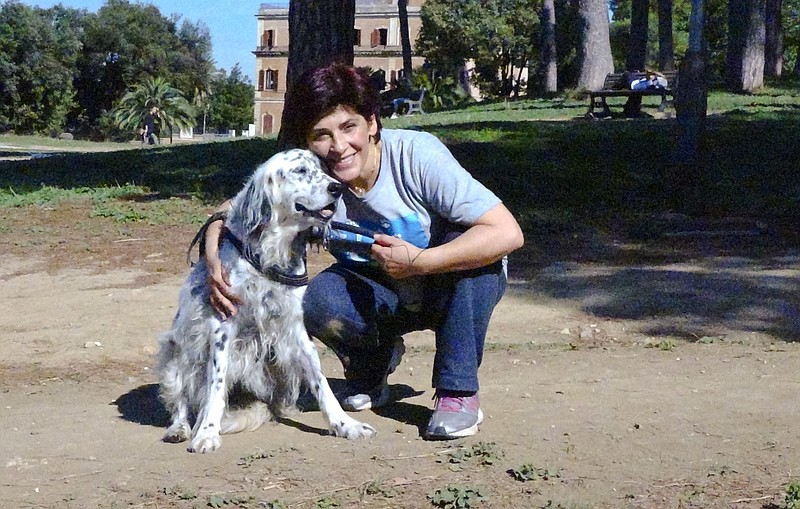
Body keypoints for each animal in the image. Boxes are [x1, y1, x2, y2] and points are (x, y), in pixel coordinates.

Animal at [159, 148, 378, 452]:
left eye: (322, 169)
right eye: (300, 171)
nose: (337, 188)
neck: (271, 252)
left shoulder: (295, 327)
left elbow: (320, 380)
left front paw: (344, 425)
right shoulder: (222, 324)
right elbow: (216, 385)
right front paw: (207, 433)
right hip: (175, 350)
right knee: (180, 400)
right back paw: (179, 428)